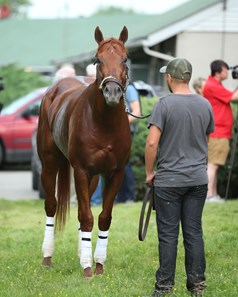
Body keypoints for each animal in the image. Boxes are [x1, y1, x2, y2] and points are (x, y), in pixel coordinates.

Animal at [37, 26, 130, 276]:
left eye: (125, 59)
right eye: (98, 59)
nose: (112, 93)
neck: (104, 124)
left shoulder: (115, 173)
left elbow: (104, 217)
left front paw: (97, 264)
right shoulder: (80, 170)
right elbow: (86, 216)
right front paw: (88, 269)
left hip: (93, 178)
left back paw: (81, 253)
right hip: (49, 164)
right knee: (51, 206)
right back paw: (47, 257)